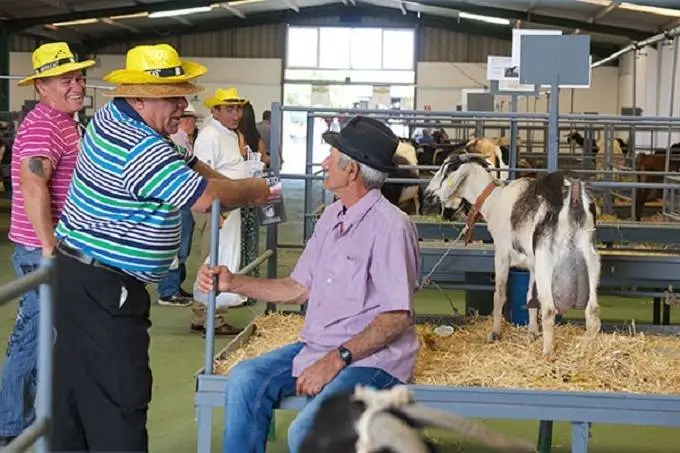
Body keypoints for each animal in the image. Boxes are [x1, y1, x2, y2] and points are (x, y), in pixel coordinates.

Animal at [422, 154, 604, 354]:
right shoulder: (531, 264)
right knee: (592, 312)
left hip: (546, 259)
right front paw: (532, 332)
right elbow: (530, 297)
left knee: (549, 309)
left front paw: (494, 333)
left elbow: (499, 294)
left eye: (446, 170)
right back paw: (584, 349)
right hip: (590, 258)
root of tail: (575, 197)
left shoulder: (502, 254)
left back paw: (547, 354)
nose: (427, 194)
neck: (494, 200)